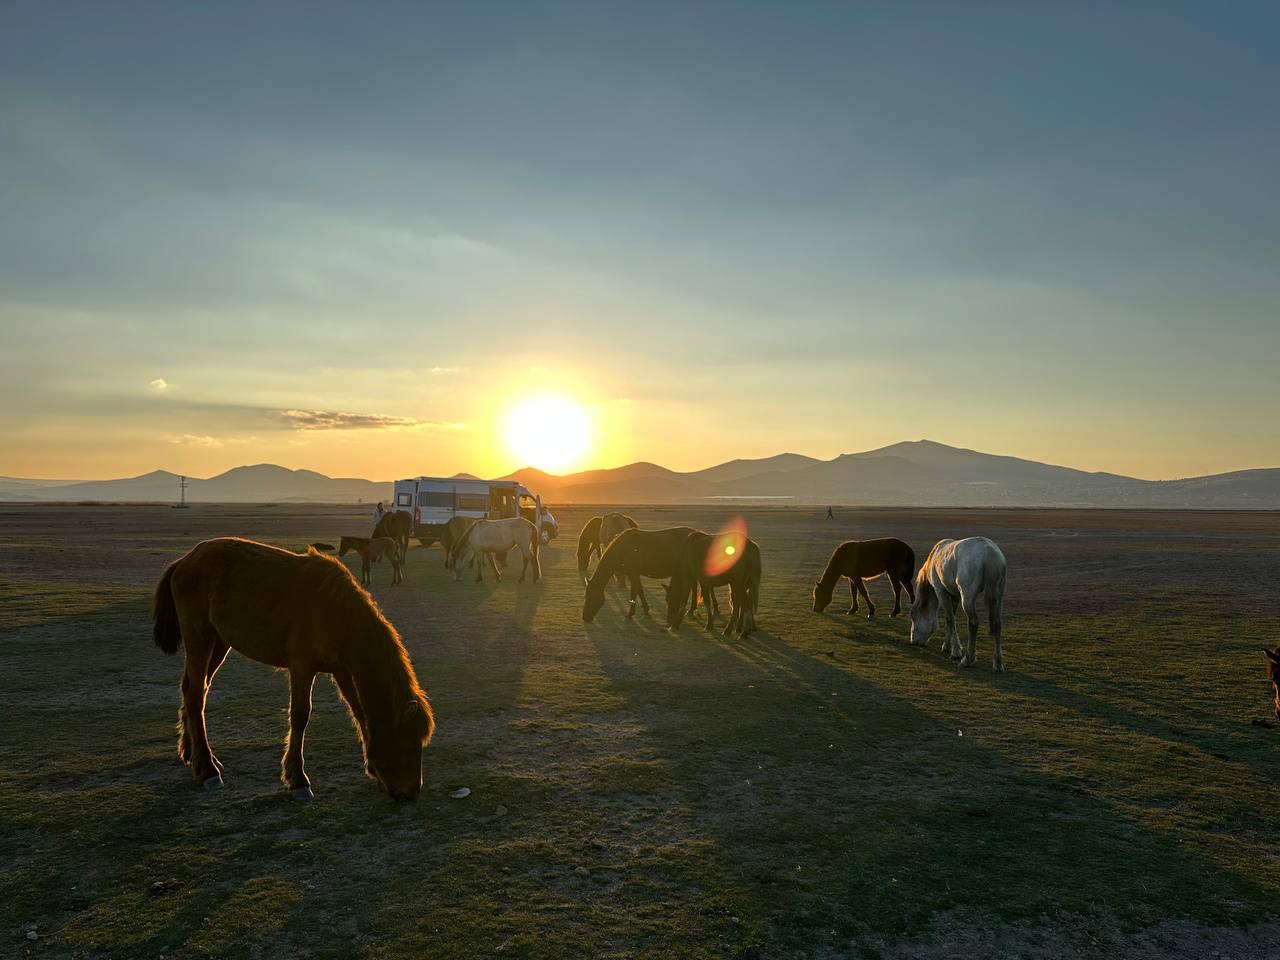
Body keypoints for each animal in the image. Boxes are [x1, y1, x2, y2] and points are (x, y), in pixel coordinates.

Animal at [151, 542, 435, 803]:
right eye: (409, 743)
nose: (412, 792)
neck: (335, 610)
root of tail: (184, 561)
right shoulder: (302, 667)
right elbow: (300, 716)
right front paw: (298, 779)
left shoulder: (341, 669)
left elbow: (357, 711)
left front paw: (371, 768)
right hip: (200, 638)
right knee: (195, 695)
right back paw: (208, 770)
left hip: (219, 643)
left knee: (193, 688)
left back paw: (193, 755)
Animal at [911, 537, 1008, 670]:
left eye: (913, 617)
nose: (913, 642)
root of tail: (989, 552)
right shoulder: (955, 595)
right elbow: (952, 618)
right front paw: (947, 645)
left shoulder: (940, 591)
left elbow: (949, 619)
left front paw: (956, 651)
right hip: (998, 596)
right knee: (997, 623)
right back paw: (998, 662)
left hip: (967, 597)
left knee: (973, 623)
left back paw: (968, 659)